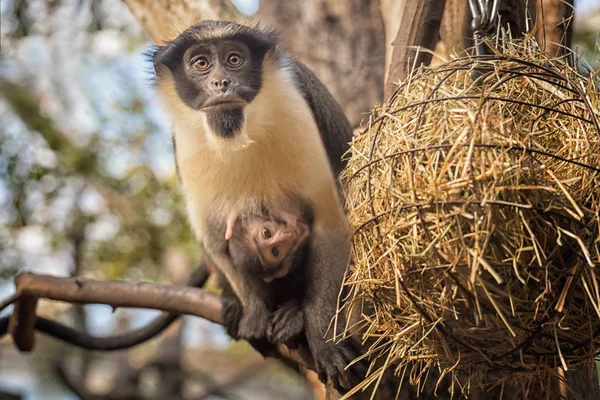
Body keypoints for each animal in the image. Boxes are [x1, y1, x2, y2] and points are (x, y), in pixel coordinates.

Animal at [152, 21, 358, 390]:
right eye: (201, 63)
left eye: (234, 59)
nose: (221, 83)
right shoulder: (184, 144)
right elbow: (215, 238)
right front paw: (253, 313)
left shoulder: (296, 106)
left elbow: (330, 223)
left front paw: (324, 339)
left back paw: (294, 315)